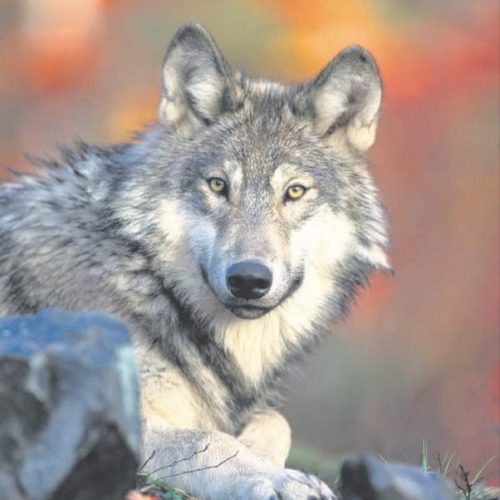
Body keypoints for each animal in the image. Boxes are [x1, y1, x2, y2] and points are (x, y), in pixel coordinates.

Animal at [0, 23, 390, 500]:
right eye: (218, 185)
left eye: (295, 192)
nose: (248, 279)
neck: (146, 279)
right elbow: (209, 439)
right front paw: (278, 478)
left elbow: (275, 420)